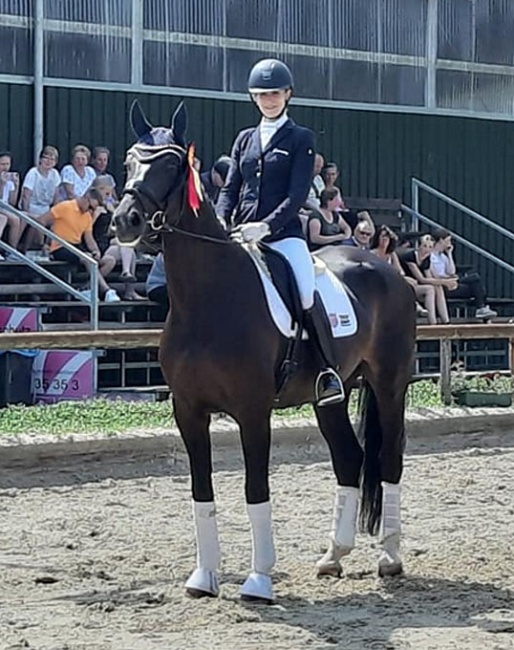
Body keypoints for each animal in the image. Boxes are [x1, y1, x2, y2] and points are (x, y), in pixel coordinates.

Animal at [113, 100, 416, 604]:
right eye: (128, 162)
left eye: (172, 165)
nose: (124, 221)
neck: (208, 299)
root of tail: (388, 268)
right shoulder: (188, 410)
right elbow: (201, 489)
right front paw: (204, 577)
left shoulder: (253, 410)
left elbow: (256, 488)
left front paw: (258, 581)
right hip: (329, 397)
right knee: (349, 460)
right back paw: (333, 556)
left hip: (390, 385)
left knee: (388, 457)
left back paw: (390, 558)